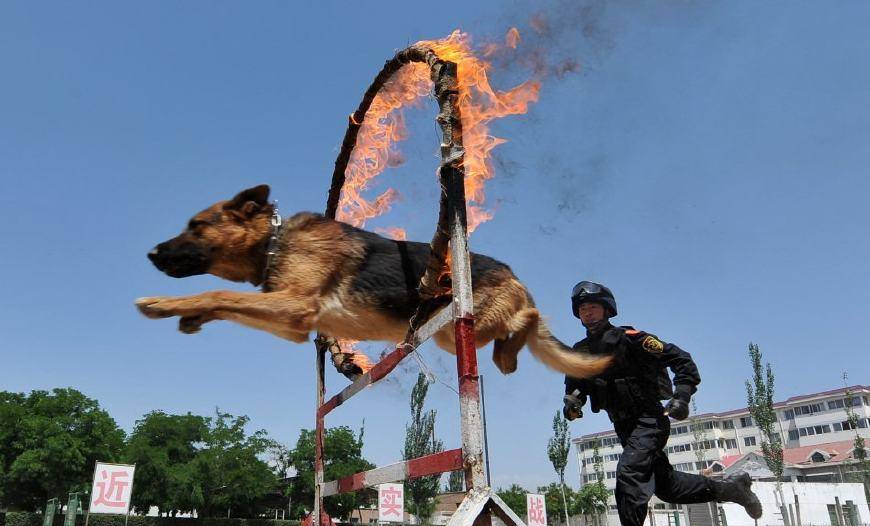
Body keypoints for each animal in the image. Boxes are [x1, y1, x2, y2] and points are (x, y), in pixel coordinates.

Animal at [138, 186, 612, 380]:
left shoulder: (295, 306)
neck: (274, 242)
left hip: (468, 322)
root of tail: (514, 274)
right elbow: (223, 300)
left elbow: (217, 290)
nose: (152, 254)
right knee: (517, 333)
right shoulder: (290, 321)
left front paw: (163, 304)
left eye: (196, 226)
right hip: (452, 335)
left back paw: (514, 346)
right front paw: (191, 315)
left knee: (529, 317)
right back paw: (508, 357)